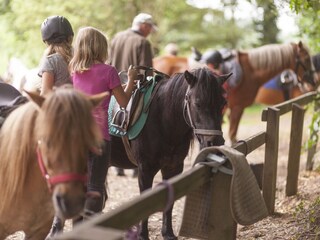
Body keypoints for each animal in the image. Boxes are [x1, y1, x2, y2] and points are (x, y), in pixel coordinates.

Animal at [110, 67, 230, 240]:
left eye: (223, 103)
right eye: (198, 103)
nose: (215, 142)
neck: (162, 120)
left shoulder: (174, 167)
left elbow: (170, 199)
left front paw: (168, 233)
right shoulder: (145, 170)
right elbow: (145, 203)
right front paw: (143, 235)